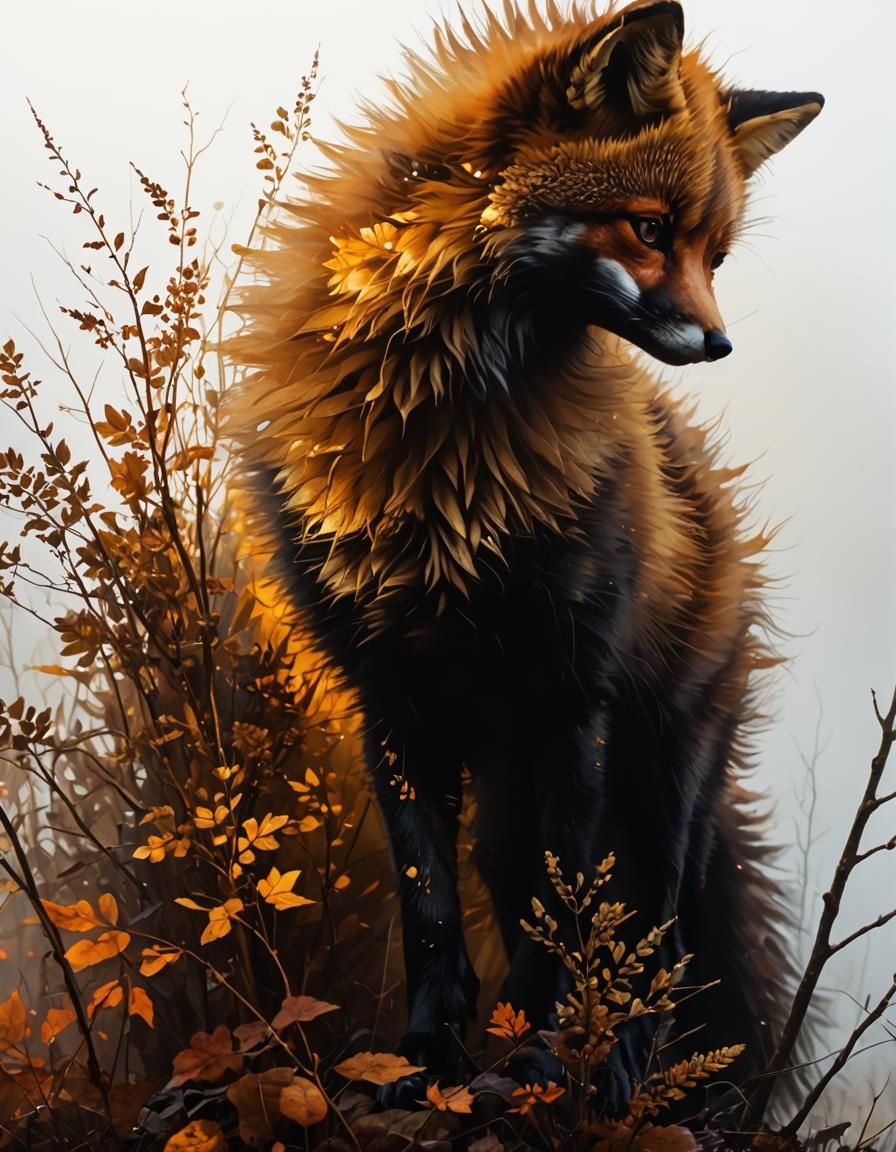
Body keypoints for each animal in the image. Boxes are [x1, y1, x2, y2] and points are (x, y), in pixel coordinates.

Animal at [229, 0, 823, 1113]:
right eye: (650, 230)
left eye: (714, 254)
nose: (719, 343)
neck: (446, 438)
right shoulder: (390, 694)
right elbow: (431, 911)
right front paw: (424, 1060)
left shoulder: (570, 692)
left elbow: (571, 913)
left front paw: (543, 1063)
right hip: (503, 805)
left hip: (661, 775)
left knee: (657, 936)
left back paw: (622, 1072)